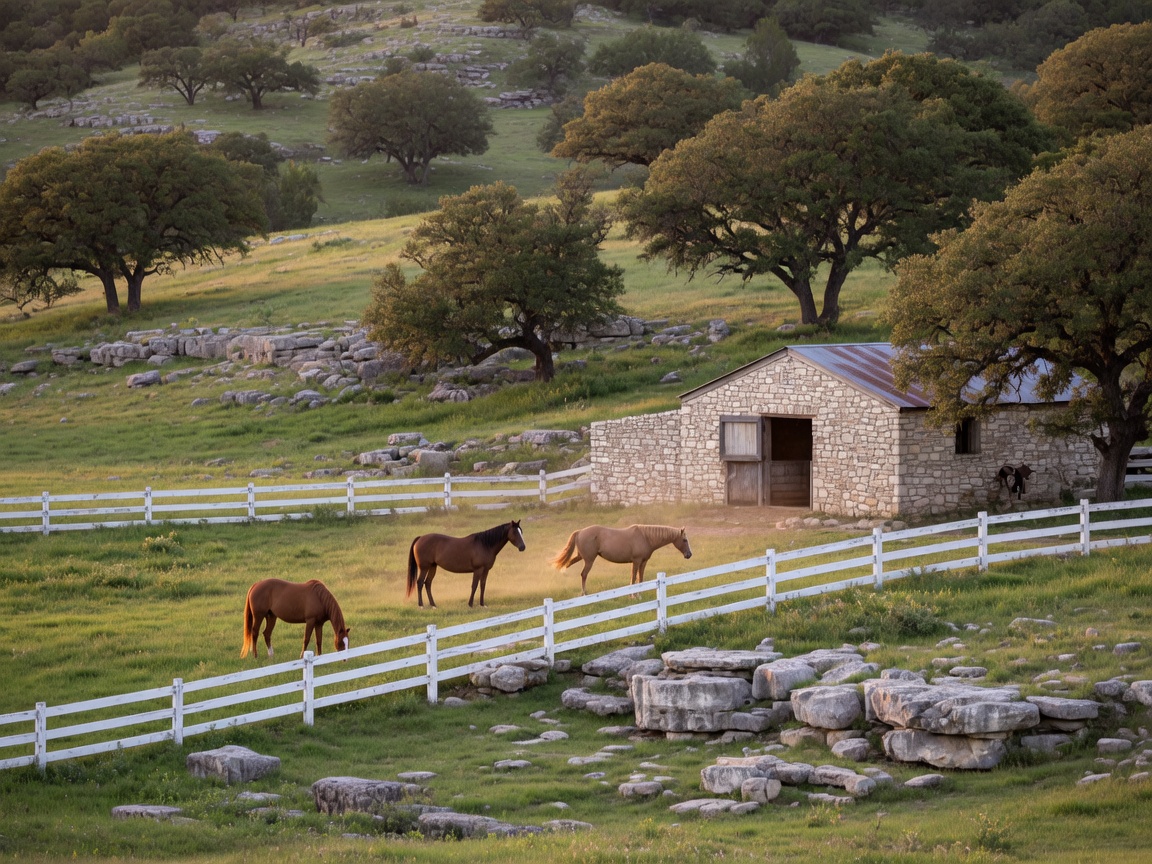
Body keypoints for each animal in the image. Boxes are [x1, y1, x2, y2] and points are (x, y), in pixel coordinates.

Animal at [551, 524, 693, 595]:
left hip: (582, 557)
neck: (646, 537)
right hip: (589, 560)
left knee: (568, 563)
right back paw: (584, 593)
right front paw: (634, 595)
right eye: (684, 540)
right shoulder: (636, 561)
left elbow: (640, 579)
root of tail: (580, 532)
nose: (689, 554)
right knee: (583, 574)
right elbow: (633, 579)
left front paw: (640, 595)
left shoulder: (643, 562)